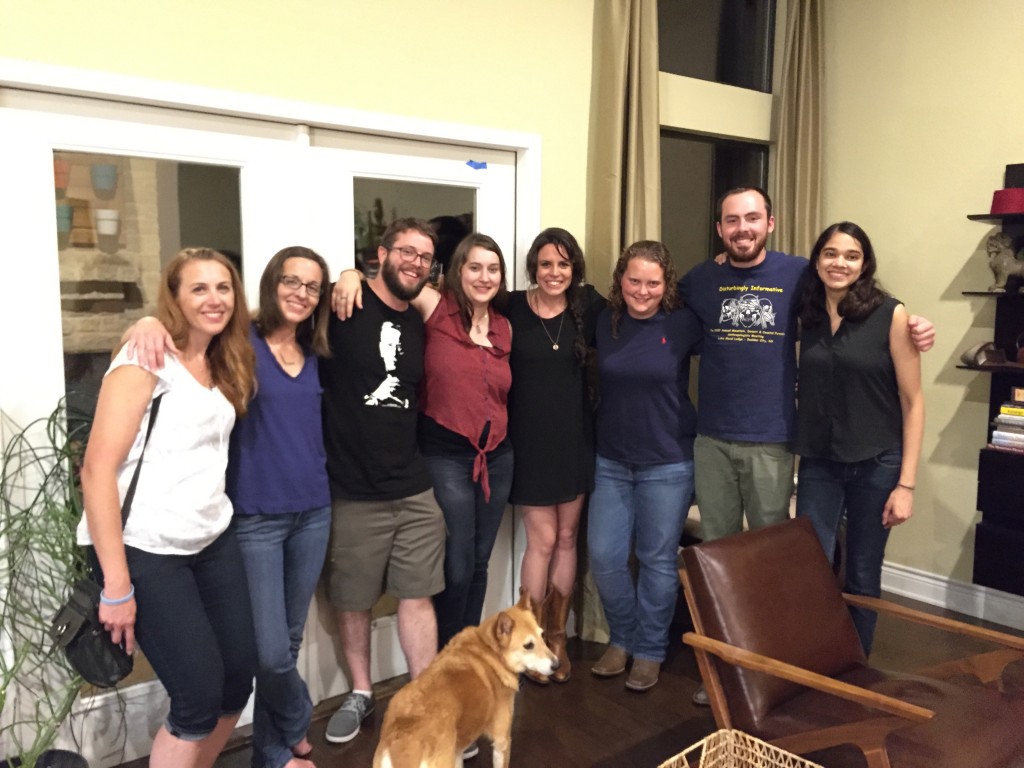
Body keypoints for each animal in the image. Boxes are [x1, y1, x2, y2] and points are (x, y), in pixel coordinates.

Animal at [372, 593, 557, 765]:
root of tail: (402, 742)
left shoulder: (458, 750)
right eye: (528, 646)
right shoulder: (502, 741)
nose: (557, 665)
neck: (489, 649)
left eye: (542, 635)